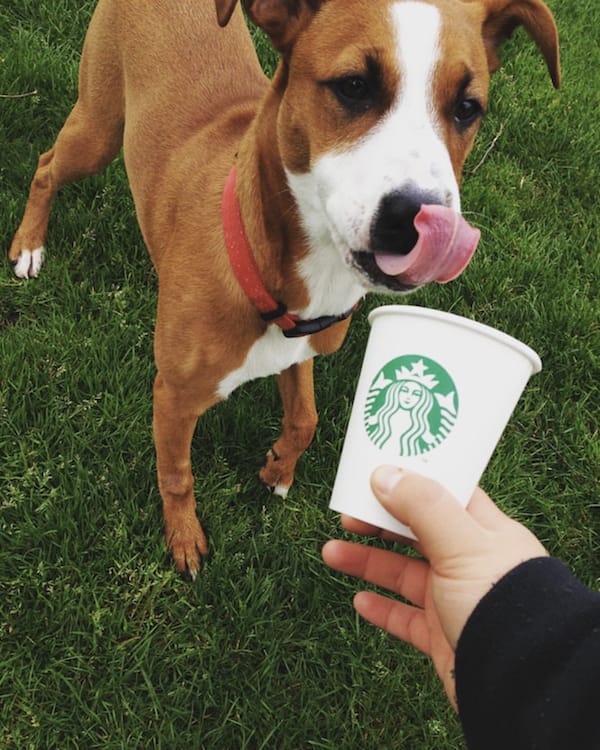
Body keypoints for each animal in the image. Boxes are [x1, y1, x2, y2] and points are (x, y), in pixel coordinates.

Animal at [9, 0, 560, 580]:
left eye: (467, 108)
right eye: (354, 85)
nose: (415, 219)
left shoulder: (301, 349)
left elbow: (306, 419)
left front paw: (278, 469)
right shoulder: (174, 396)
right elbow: (177, 473)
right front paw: (184, 539)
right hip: (98, 128)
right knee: (46, 166)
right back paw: (28, 245)